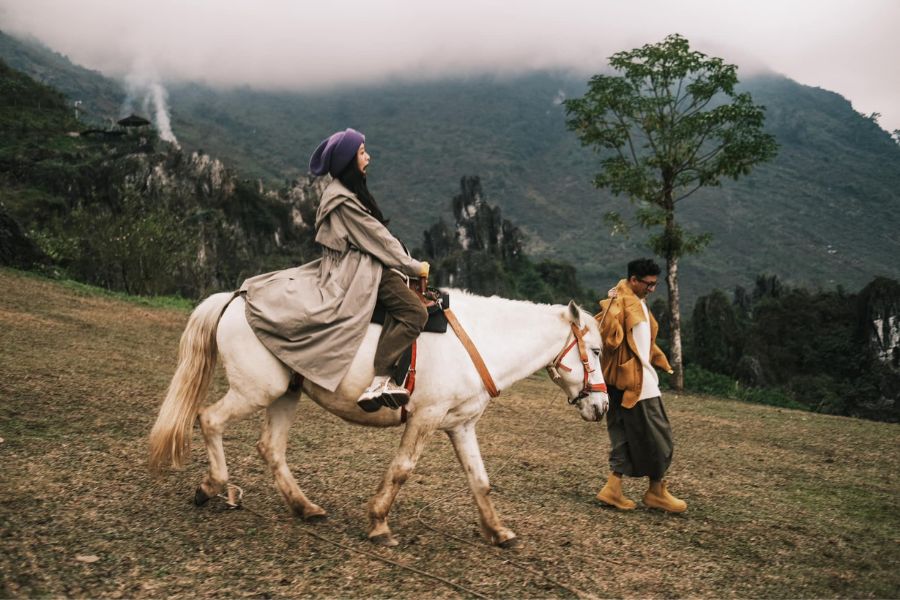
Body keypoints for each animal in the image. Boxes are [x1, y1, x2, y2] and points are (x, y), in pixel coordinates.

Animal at [149, 290, 612, 548]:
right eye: (597, 351)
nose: (602, 407)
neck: (480, 340)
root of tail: (237, 298)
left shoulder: (460, 425)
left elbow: (479, 481)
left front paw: (498, 532)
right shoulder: (425, 418)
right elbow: (402, 470)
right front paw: (378, 524)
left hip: (285, 392)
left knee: (271, 448)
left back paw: (304, 507)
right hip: (256, 389)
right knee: (210, 419)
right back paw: (213, 486)